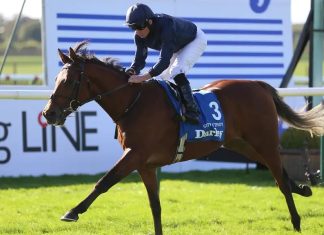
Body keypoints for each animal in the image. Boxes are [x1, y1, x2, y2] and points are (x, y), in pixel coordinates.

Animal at [42, 41, 324, 234]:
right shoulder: (145, 164)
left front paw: (72, 212)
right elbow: (155, 205)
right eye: (56, 79)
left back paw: (297, 222)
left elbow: (105, 181)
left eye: (68, 81)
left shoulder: (135, 154)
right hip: (241, 143)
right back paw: (303, 188)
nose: (49, 113)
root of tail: (258, 85)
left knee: (280, 179)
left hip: (264, 141)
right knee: (280, 176)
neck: (134, 103)